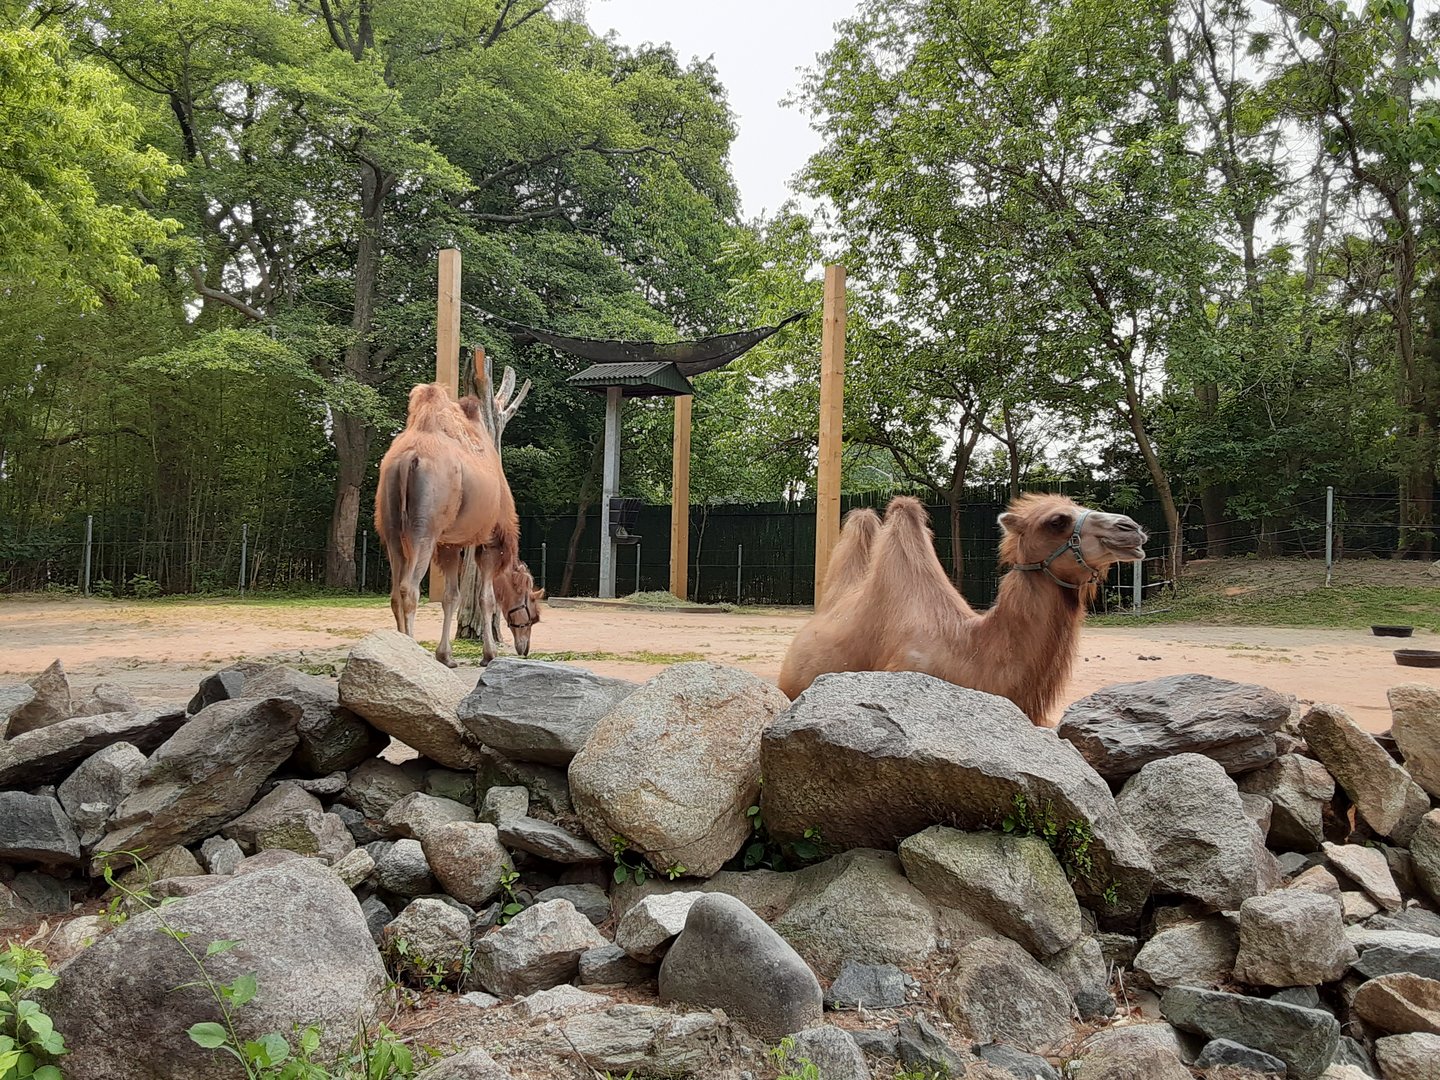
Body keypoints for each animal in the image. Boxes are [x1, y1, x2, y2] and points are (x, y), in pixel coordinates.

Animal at [375, 383, 543, 667]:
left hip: (392, 528)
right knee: (409, 589)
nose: (525, 648)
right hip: (424, 529)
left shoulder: (449, 544)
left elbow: (451, 597)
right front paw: (489, 655)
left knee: (395, 592)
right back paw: (413, 651)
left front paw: (446, 656)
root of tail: (408, 458)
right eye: (532, 609)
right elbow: (486, 599)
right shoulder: (489, 541)